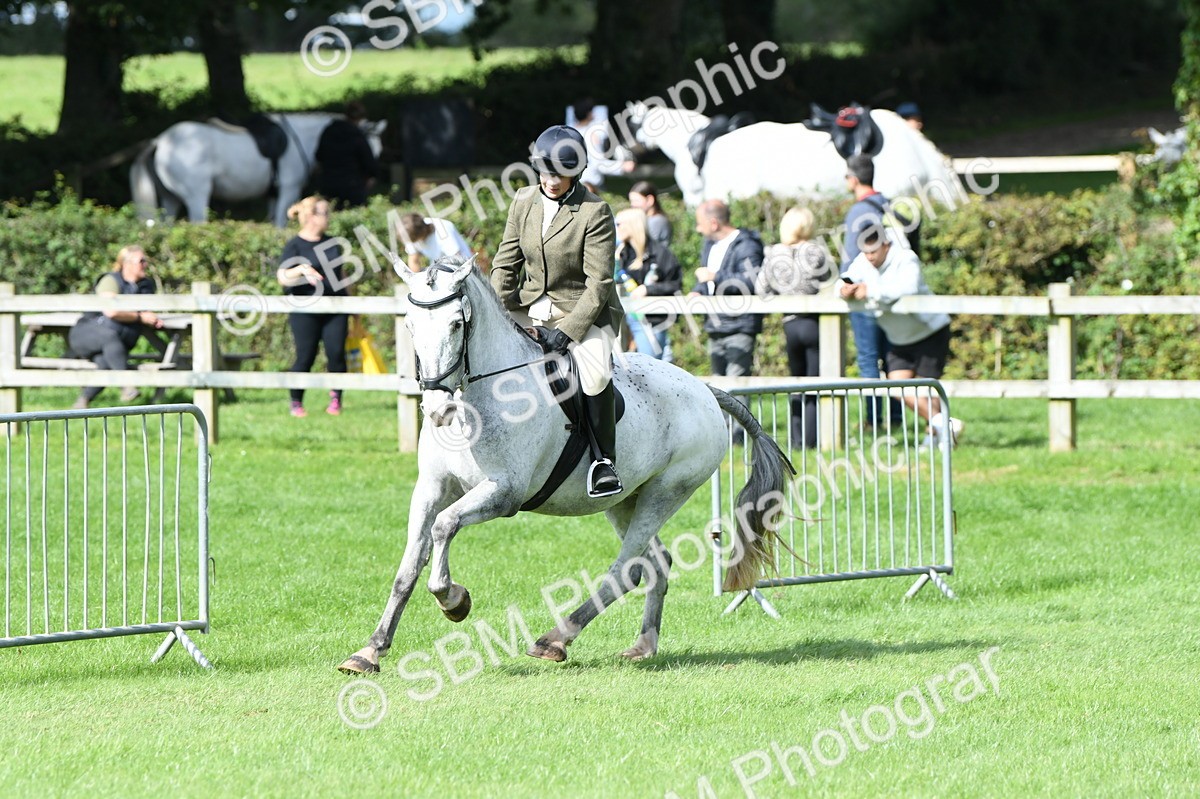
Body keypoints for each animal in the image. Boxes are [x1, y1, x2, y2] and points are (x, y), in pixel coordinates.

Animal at [130, 113, 386, 227]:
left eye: (379, 150)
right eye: (367, 149)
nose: (369, 180)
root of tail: (160, 141)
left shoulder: (273, 194)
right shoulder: (288, 191)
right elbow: (281, 223)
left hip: (170, 199)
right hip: (196, 196)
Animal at [337, 256, 794, 673]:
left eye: (455, 325)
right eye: (411, 328)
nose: (437, 410)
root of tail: (704, 389)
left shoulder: (504, 493)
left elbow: (444, 527)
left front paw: (455, 601)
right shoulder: (430, 489)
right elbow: (409, 567)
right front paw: (370, 650)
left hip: (666, 491)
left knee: (625, 569)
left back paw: (555, 639)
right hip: (625, 500)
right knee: (653, 565)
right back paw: (642, 645)